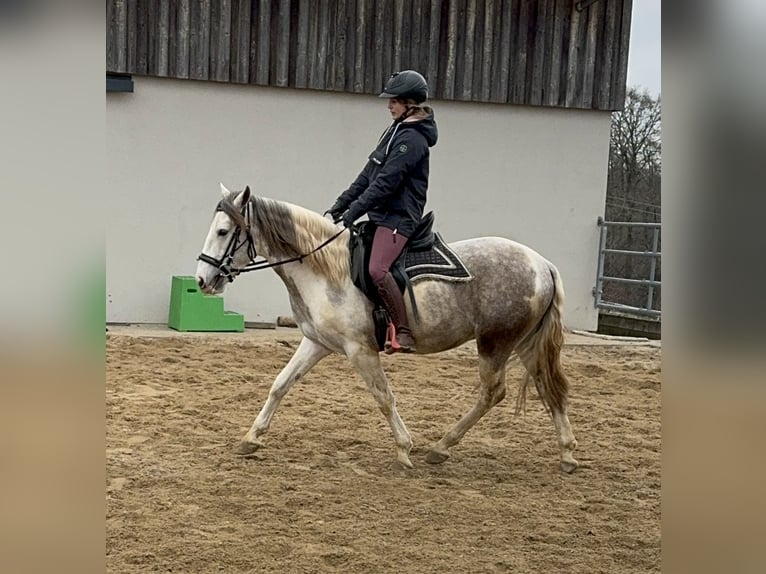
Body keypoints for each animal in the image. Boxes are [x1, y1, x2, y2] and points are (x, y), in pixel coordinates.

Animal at [195, 183, 580, 472]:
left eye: (223, 231)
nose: (202, 279)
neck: (326, 269)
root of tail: (542, 264)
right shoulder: (316, 343)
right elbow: (280, 384)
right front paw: (251, 438)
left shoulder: (360, 350)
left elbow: (383, 396)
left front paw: (404, 450)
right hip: (523, 343)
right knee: (547, 386)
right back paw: (567, 452)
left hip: (495, 343)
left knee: (492, 393)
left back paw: (441, 446)